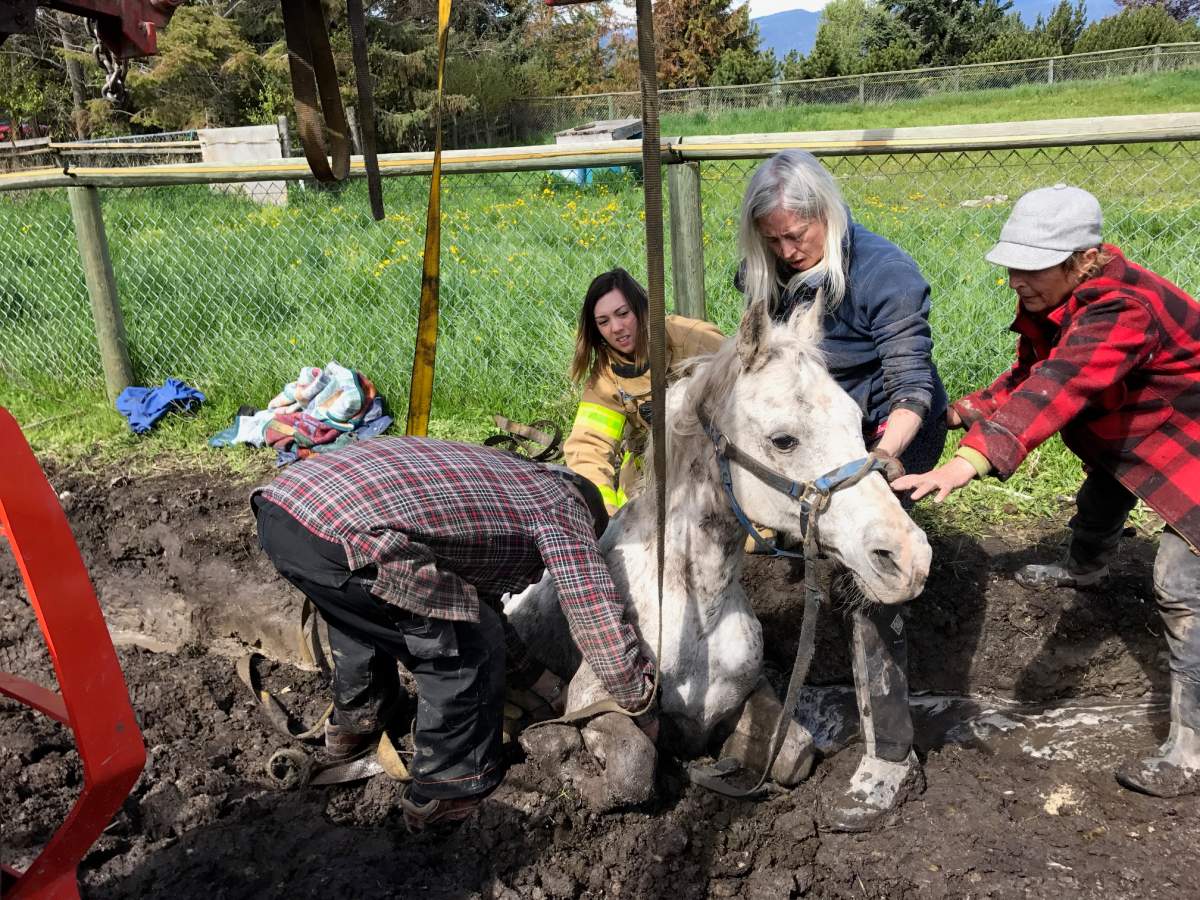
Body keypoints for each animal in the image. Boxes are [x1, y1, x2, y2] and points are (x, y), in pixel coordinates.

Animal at [506, 295, 932, 809]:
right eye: (783, 439)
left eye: (856, 420)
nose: (909, 558)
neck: (693, 613)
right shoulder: (596, 700)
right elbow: (632, 768)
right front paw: (552, 753)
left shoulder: (750, 693)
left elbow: (795, 751)